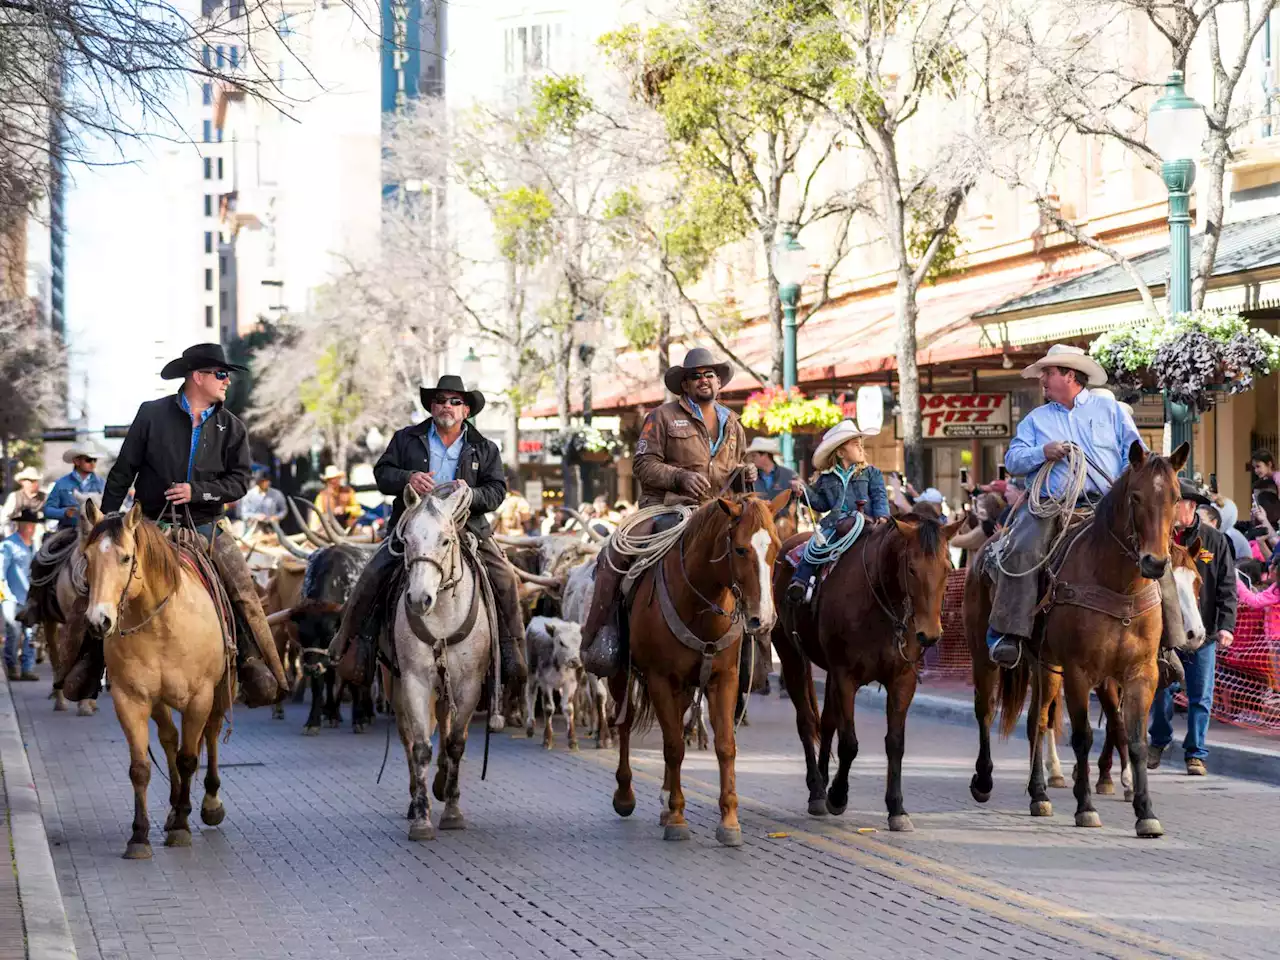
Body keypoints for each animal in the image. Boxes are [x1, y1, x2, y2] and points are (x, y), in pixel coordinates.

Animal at [81, 504, 236, 865]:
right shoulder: (130, 700)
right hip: (160, 702)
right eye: (87, 556)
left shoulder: (200, 697)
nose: (99, 621)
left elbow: (189, 758)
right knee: (169, 738)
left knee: (209, 734)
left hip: (220, 691)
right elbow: (140, 768)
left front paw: (181, 827)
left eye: (126, 558)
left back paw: (208, 803)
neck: (161, 624)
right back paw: (174, 806)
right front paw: (139, 836)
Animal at [386, 483, 491, 839]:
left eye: (445, 540)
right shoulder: (415, 680)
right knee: (408, 737)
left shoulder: (470, 683)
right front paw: (422, 818)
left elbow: (456, 743)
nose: (419, 599)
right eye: (406, 540)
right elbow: (420, 746)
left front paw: (453, 811)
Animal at [604, 496, 783, 849]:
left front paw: (728, 821)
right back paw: (626, 794)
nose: (764, 619)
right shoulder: (660, 679)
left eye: (777, 548)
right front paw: (676, 817)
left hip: (685, 688)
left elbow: (725, 745)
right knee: (625, 722)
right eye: (740, 549)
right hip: (623, 675)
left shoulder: (723, 680)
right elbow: (674, 746)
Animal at [768, 514, 962, 829]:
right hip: (790, 655)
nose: (930, 634)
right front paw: (837, 796)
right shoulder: (846, 677)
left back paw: (823, 780)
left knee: (826, 722)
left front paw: (897, 808)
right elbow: (849, 743)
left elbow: (895, 743)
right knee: (807, 723)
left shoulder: (902, 680)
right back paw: (817, 790)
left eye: (947, 568)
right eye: (911, 568)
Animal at [967, 445, 1208, 839]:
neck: (1119, 586)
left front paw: (1144, 810)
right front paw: (1087, 807)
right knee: (986, 711)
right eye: (1136, 496)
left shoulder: (1140, 674)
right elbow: (1083, 737)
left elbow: (1134, 738)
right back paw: (984, 780)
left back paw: (1038, 794)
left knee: (1037, 721)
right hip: (984, 656)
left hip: (1045, 665)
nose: (1155, 563)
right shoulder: (1081, 673)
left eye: (1175, 497)